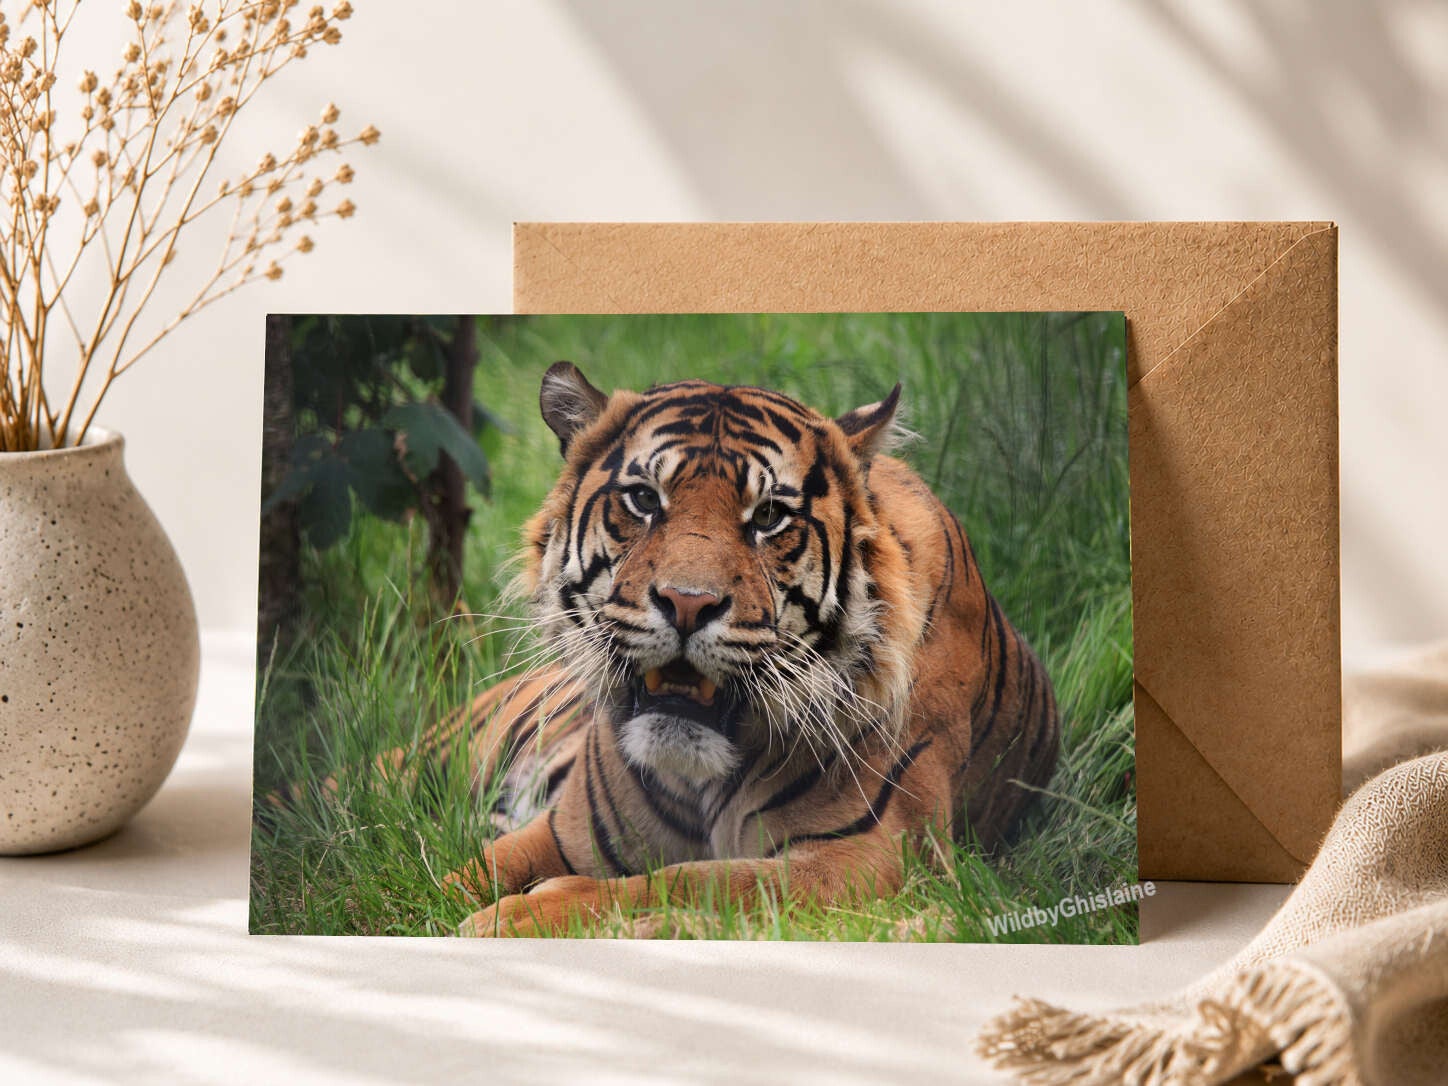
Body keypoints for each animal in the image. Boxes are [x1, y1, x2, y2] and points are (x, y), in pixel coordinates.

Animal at [429, 362, 1061, 936]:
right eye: (643, 500)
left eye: (769, 515)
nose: (687, 603)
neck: (698, 781)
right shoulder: (564, 831)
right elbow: (467, 869)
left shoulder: (864, 855)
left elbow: (692, 879)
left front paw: (521, 915)